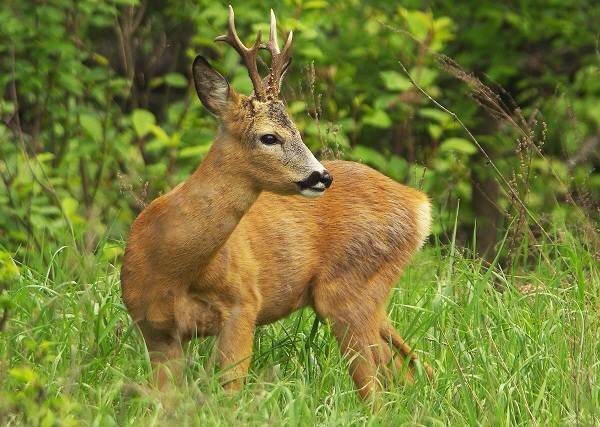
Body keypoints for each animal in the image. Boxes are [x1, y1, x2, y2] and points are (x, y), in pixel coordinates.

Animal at [120, 5, 432, 402]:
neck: (171, 266)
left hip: (350, 287)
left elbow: (230, 391)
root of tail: (420, 204)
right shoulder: (154, 329)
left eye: (297, 130)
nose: (321, 176)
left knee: (376, 385)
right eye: (269, 137)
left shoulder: (244, 304)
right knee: (401, 370)